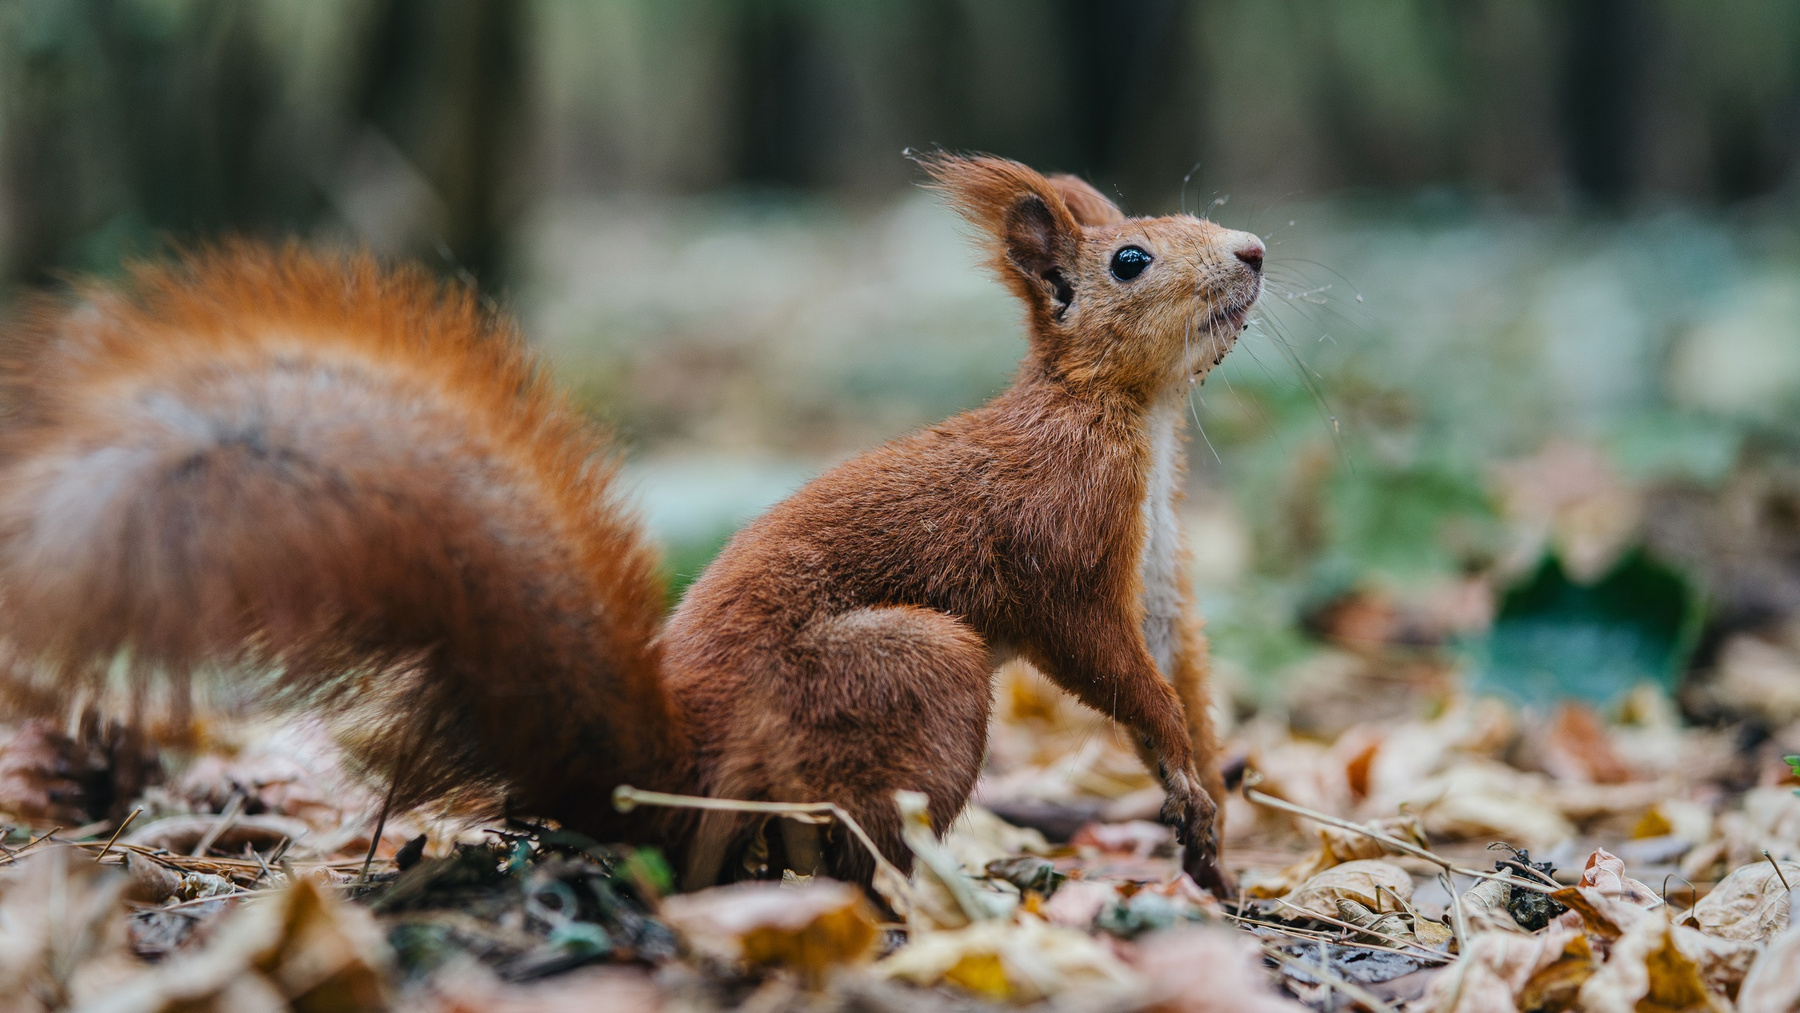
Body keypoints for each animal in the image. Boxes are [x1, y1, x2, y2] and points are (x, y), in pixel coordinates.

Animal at [0, 154, 1262, 894]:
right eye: (1131, 257)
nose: (1253, 251)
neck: (1126, 414)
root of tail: (671, 768)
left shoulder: (1153, 560)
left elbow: (1177, 668)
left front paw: (1206, 800)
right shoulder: (1057, 549)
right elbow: (1107, 665)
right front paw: (1187, 781)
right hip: (908, 672)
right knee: (841, 839)